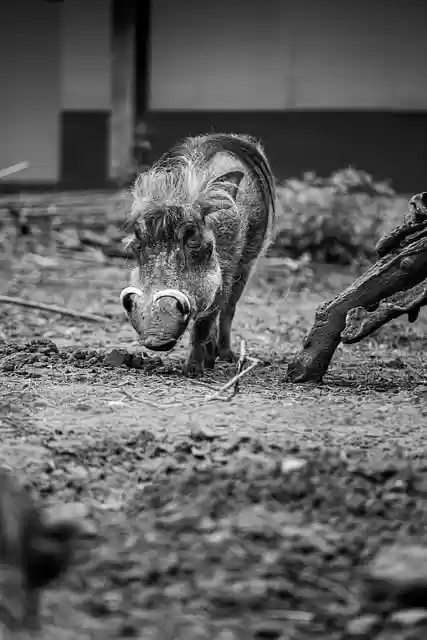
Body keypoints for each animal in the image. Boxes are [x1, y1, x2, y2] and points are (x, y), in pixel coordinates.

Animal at [121, 132, 276, 377]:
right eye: (137, 244)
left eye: (200, 244)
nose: (156, 338)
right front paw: (202, 362)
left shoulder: (225, 274)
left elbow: (204, 323)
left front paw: (192, 370)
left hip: (248, 263)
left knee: (229, 310)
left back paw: (226, 355)